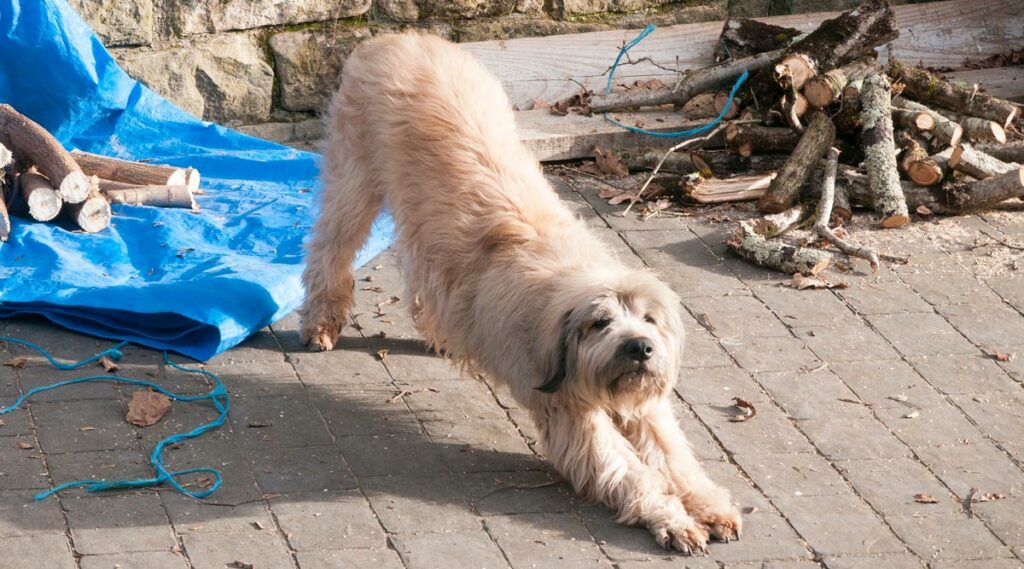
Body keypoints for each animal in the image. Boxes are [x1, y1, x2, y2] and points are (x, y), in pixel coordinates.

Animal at [299, 30, 741, 552]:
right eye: (600, 323)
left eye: (649, 319)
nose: (639, 349)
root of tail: (399, 37)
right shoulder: (571, 415)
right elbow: (629, 470)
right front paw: (671, 519)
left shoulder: (645, 409)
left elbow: (675, 457)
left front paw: (708, 505)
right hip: (354, 183)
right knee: (328, 250)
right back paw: (321, 322)